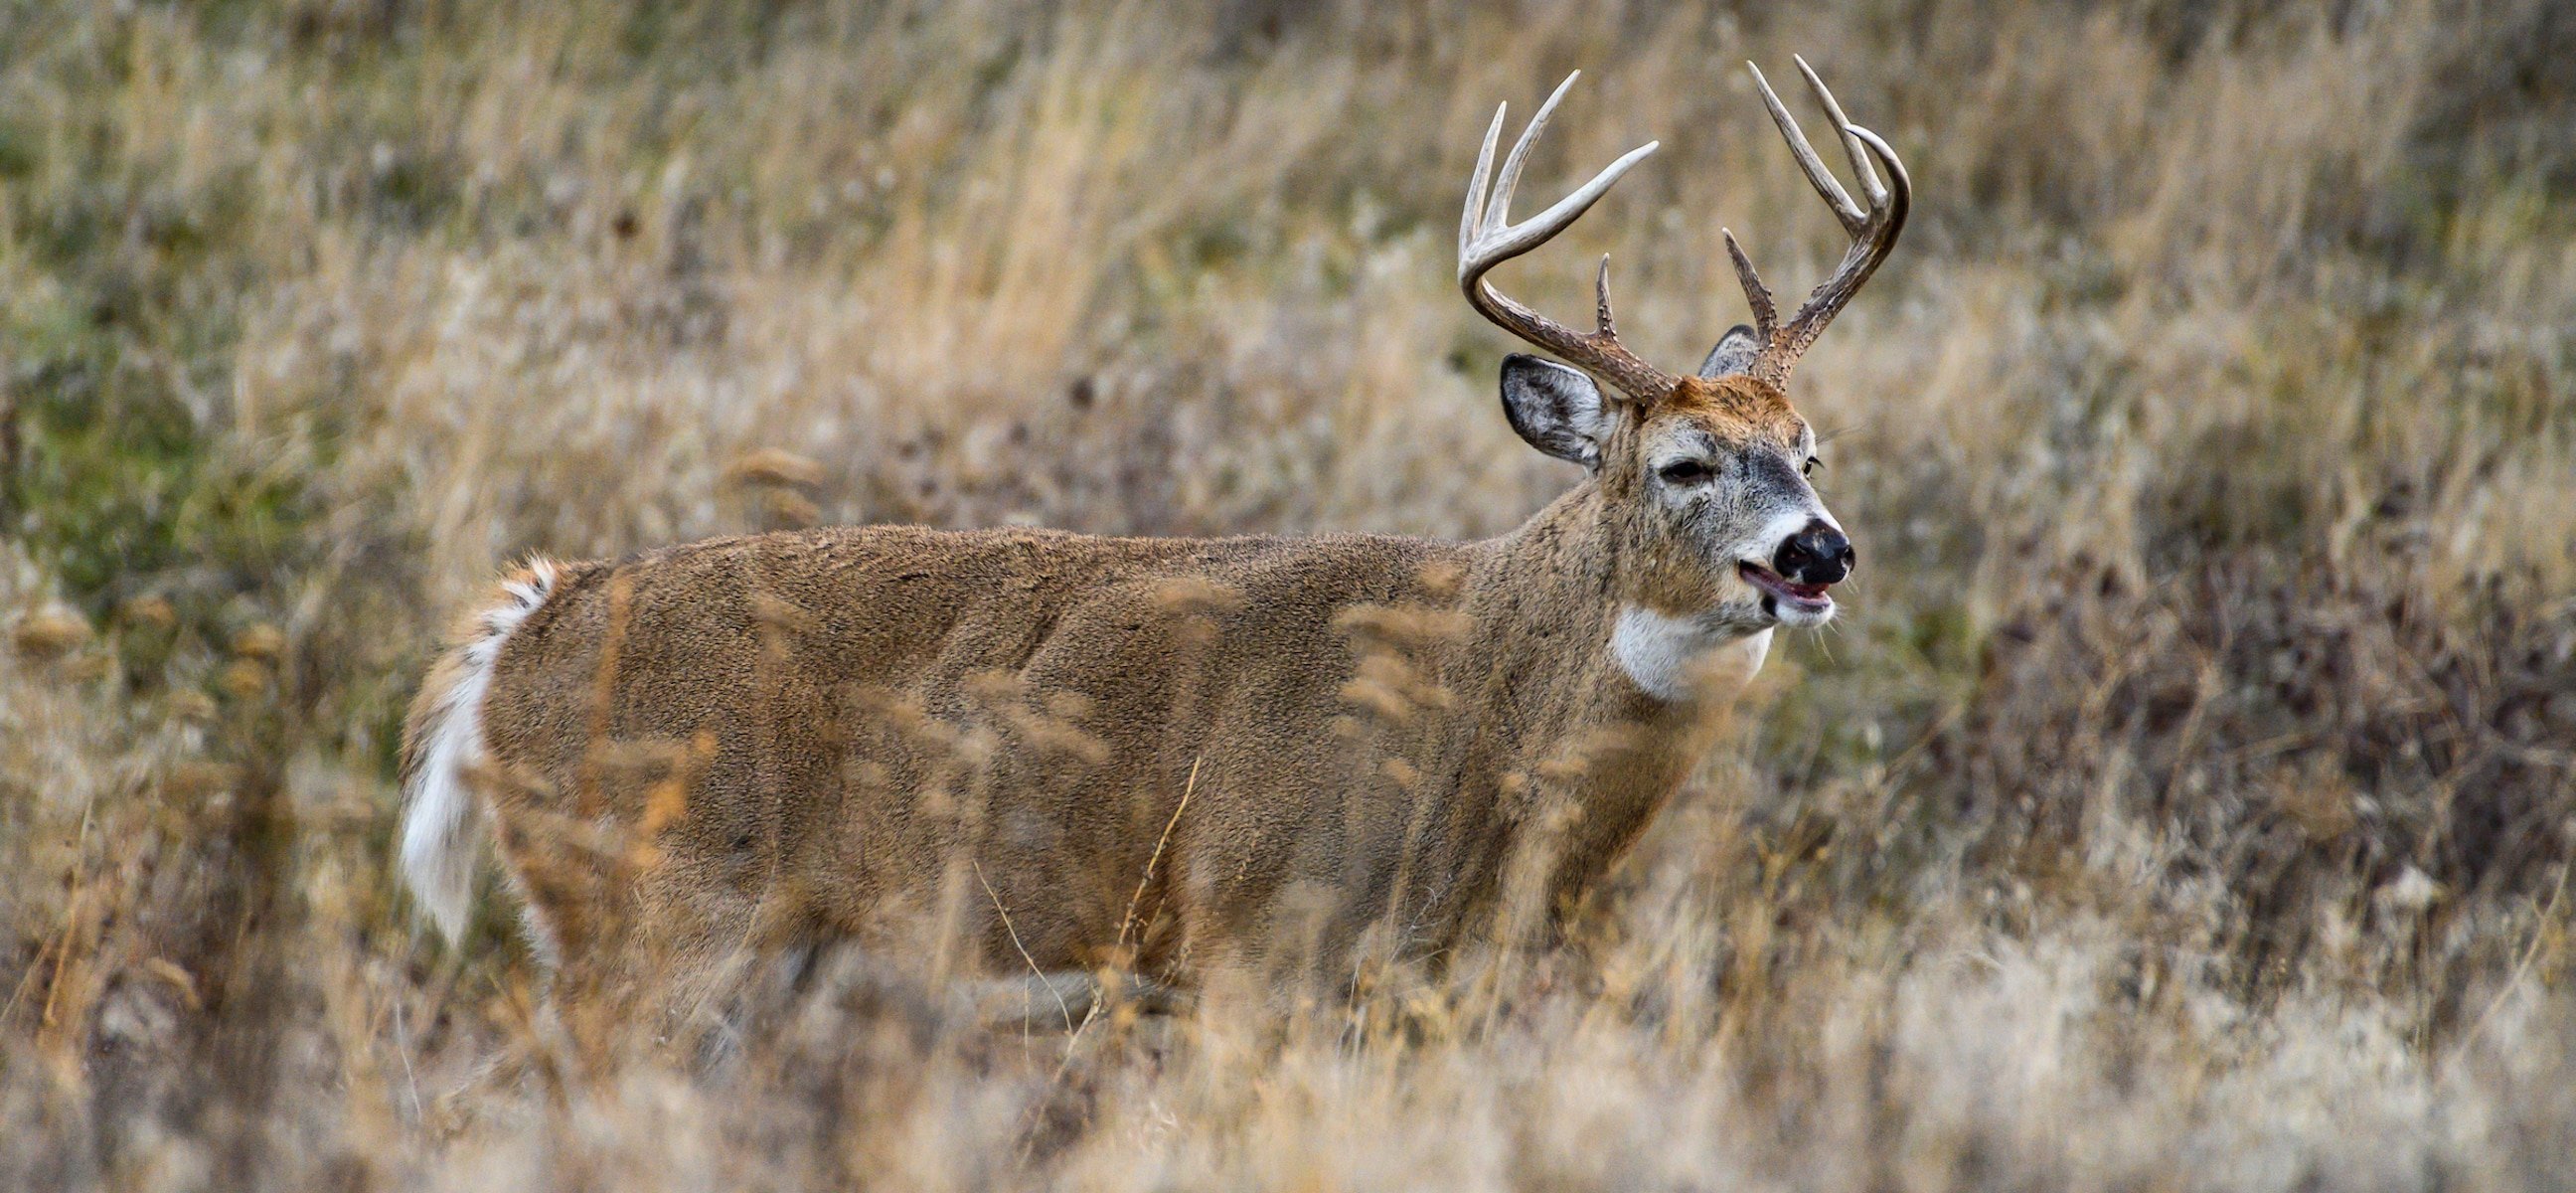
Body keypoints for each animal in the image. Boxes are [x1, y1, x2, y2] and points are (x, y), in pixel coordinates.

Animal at [397, 60, 1895, 1041]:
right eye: (1683, 464)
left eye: (1812, 449)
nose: (1819, 553)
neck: (1478, 709)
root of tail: (527, 622)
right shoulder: (1252, 943)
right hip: (651, 922)